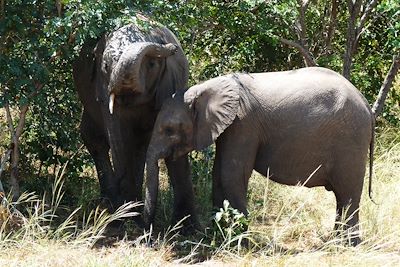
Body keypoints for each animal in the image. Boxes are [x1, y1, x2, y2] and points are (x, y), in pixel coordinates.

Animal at [72, 20, 198, 230]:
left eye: (152, 64)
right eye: (105, 65)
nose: (171, 48)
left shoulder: (172, 82)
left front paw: (188, 230)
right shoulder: (104, 88)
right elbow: (120, 139)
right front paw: (124, 218)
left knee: (139, 145)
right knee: (96, 139)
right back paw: (112, 206)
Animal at [145, 67, 376, 245]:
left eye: (169, 130)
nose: (150, 238)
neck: (204, 88)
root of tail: (366, 104)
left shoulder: (243, 124)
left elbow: (232, 174)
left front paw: (240, 244)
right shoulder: (229, 128)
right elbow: (218, 174)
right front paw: (218, 238)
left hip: (351, 141)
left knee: (348, 194)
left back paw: (348, 245)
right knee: (343, 197)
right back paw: (336, 242)